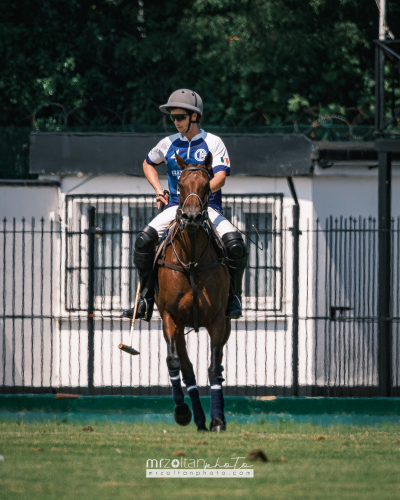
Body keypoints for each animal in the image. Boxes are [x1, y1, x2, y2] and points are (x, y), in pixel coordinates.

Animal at [156, 150, 231, 432]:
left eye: (207, 186)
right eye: (179, 185)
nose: (191, 218)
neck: (191, 261)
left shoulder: (218, 320)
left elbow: (214, 368)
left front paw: (218, 420)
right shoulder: (170, 317)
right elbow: (175, 363)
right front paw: (181, 412)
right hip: (178, 329)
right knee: (186, 368)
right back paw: (196, 417)